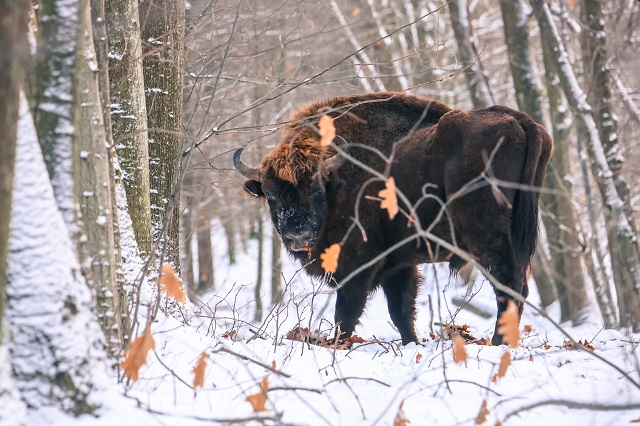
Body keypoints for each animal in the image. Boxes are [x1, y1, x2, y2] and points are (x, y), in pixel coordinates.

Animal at [232, 91, 552, 344]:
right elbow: (401, 311)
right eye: (270, 195)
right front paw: (412, 344)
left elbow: (346, 313)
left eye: (317, 188)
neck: (340, 177)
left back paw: (498, 343)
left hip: (488, 240)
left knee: (509, 287)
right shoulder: (398, 264)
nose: (298, 235)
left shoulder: (358, 264)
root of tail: (518, 121)